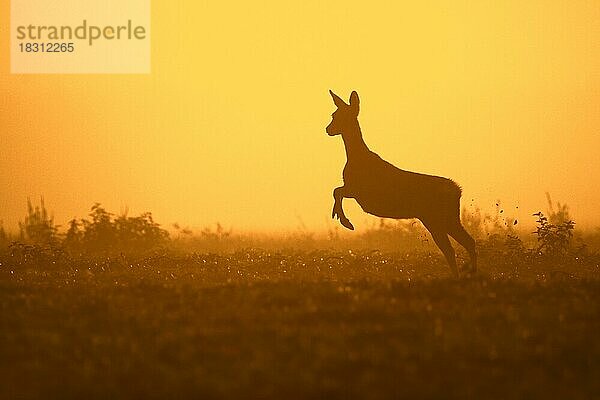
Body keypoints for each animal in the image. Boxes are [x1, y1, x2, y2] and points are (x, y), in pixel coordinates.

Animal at [326, 90, 476, 278]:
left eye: (337, 115)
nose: (328, 129)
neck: (356, 158)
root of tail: (458, 191)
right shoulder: (356, 192)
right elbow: (336, 190)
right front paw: (340, 217)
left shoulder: (361, 191)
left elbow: (336, 191)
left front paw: (345, 221)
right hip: (441, 218)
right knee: (462, 244)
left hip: (439, 217)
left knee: (457, 246)